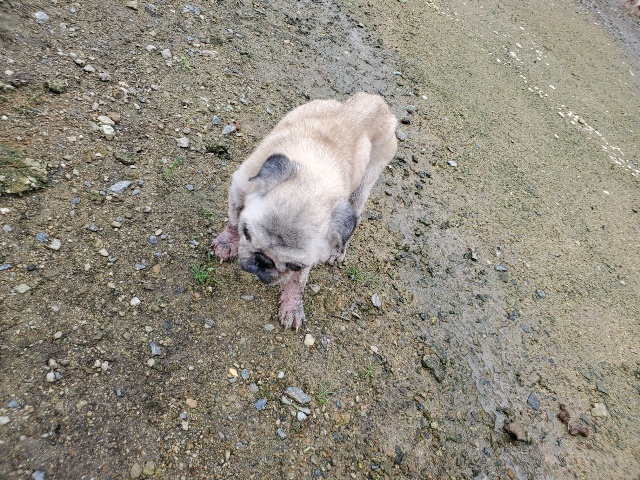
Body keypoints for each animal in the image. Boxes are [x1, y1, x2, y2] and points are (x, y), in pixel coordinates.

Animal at [212, 92, 398, 330]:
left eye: (294, 264)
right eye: (247, 233)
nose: (262, 261)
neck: (312, 174)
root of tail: (375, 102)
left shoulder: (309, 258)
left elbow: (297, 281)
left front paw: (292, 306)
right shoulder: (239, 190)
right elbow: (233, 221)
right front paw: (227, 243)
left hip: (365, 184)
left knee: (352, 221)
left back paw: (339, 252)